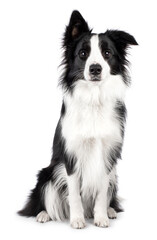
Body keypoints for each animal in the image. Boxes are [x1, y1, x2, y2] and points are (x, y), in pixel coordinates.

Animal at [18, 11, 137, 229]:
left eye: (107, 53)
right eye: (83, 54)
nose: (95, 69)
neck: (94, 99)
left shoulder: (107, 156)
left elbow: (101, 192)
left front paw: (101, 217)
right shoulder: (71, 156)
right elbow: (74, 193)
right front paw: (77, 220)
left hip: (114, 174)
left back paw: (110, 210)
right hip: (47, 175)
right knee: (42, 200)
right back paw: (43, 214)